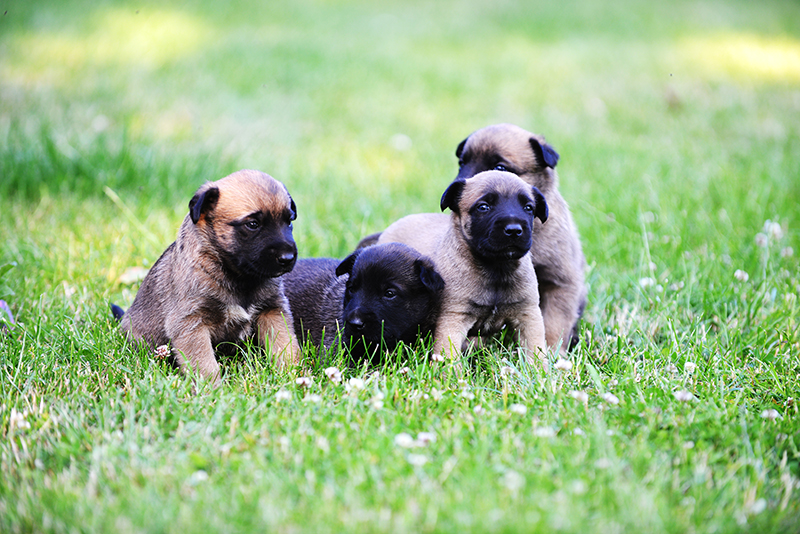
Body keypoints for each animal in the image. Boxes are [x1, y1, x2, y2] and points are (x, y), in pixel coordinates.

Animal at [110, 170, 300, 384]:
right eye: (253, 224)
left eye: (289, 221)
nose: (288, 258)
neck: (237, 277)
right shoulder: (192, 324)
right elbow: (205, 364)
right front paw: (212, 389)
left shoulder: (272, 311)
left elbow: (286, 346)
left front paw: (294, 375)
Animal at [378, 172, 548, 368]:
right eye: (483, 207)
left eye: (528, 208)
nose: (514, 230)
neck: (496, 268)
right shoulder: (452, 319)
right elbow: (449, 355)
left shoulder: (528, 316)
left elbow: (535, 352)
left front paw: (539, 371)